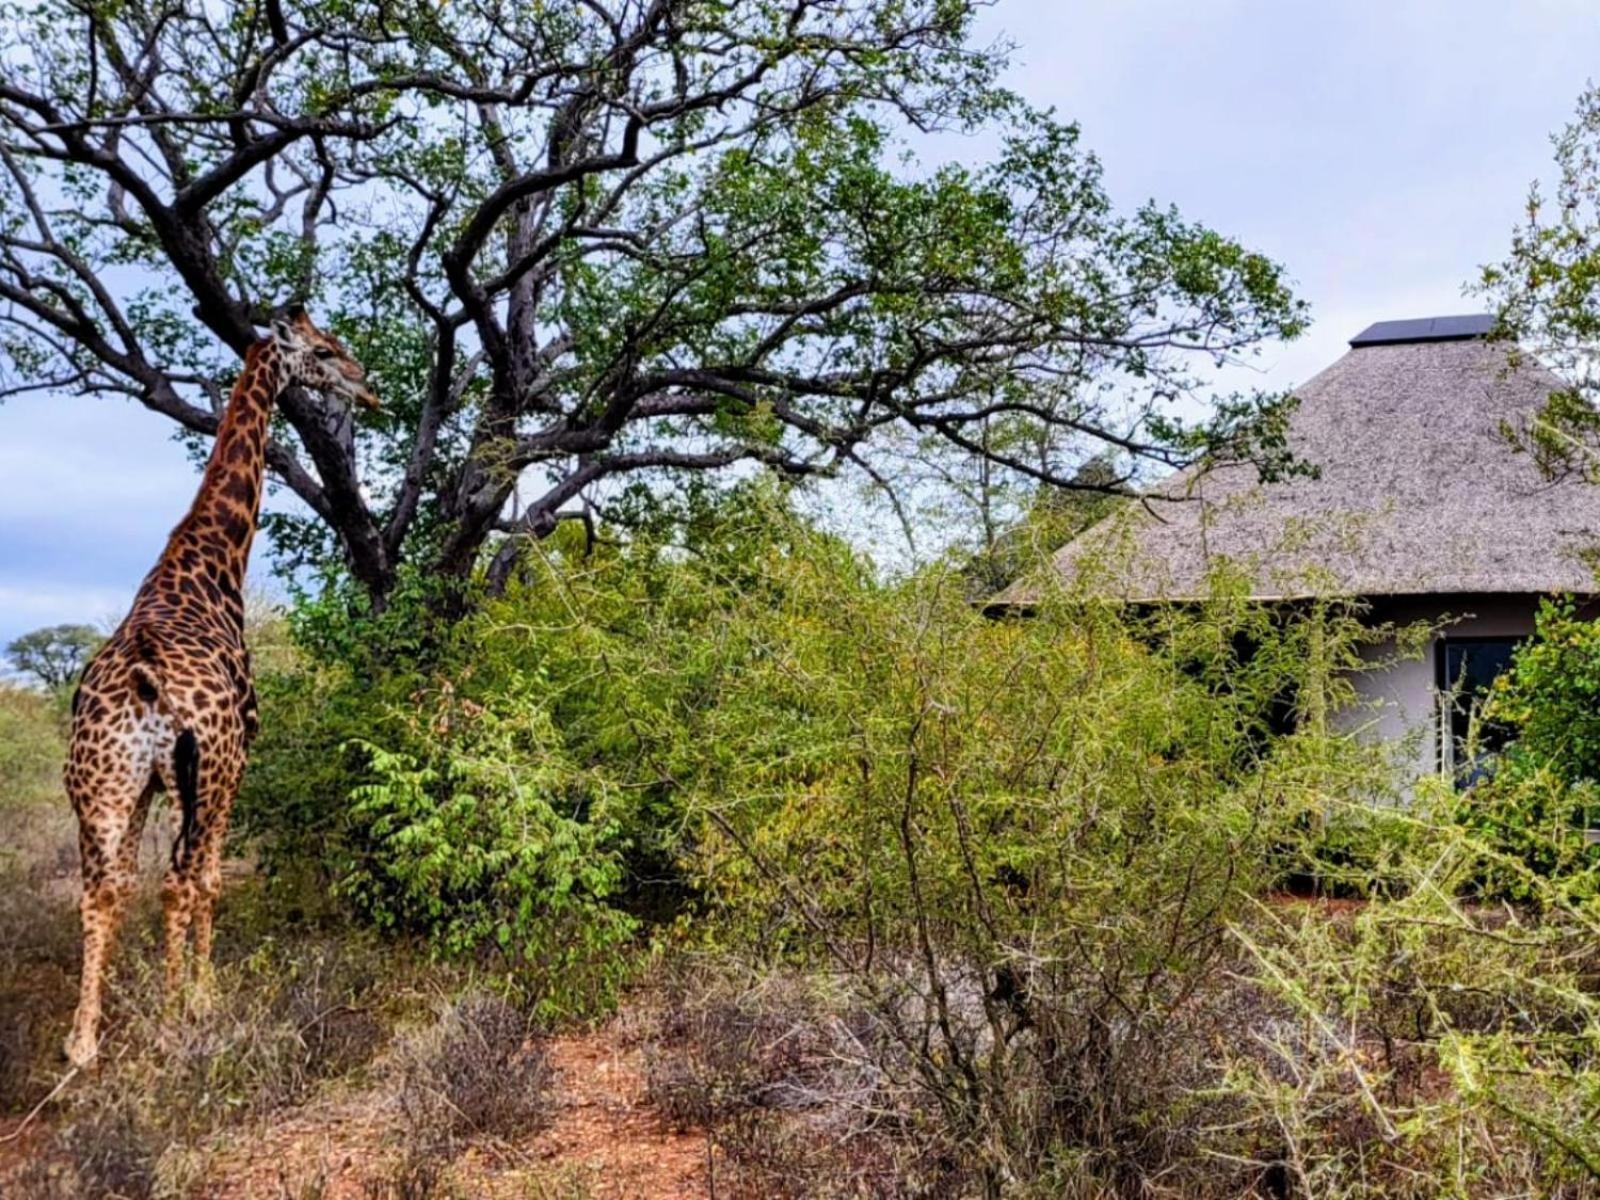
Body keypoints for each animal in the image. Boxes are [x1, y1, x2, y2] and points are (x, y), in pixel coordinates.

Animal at [60, 310, 376, 1068]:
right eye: (325, 352)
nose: (363, 382)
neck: (209, 561)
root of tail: (146, 682)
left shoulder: (146, 785)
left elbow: (128, 884)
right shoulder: (239, 758)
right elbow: (207, 879)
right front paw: (201, 993)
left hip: (99, 784)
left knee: (100, 889)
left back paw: (83, 1042)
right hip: (204, 770)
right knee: (181, 879)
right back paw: (177, 1017)